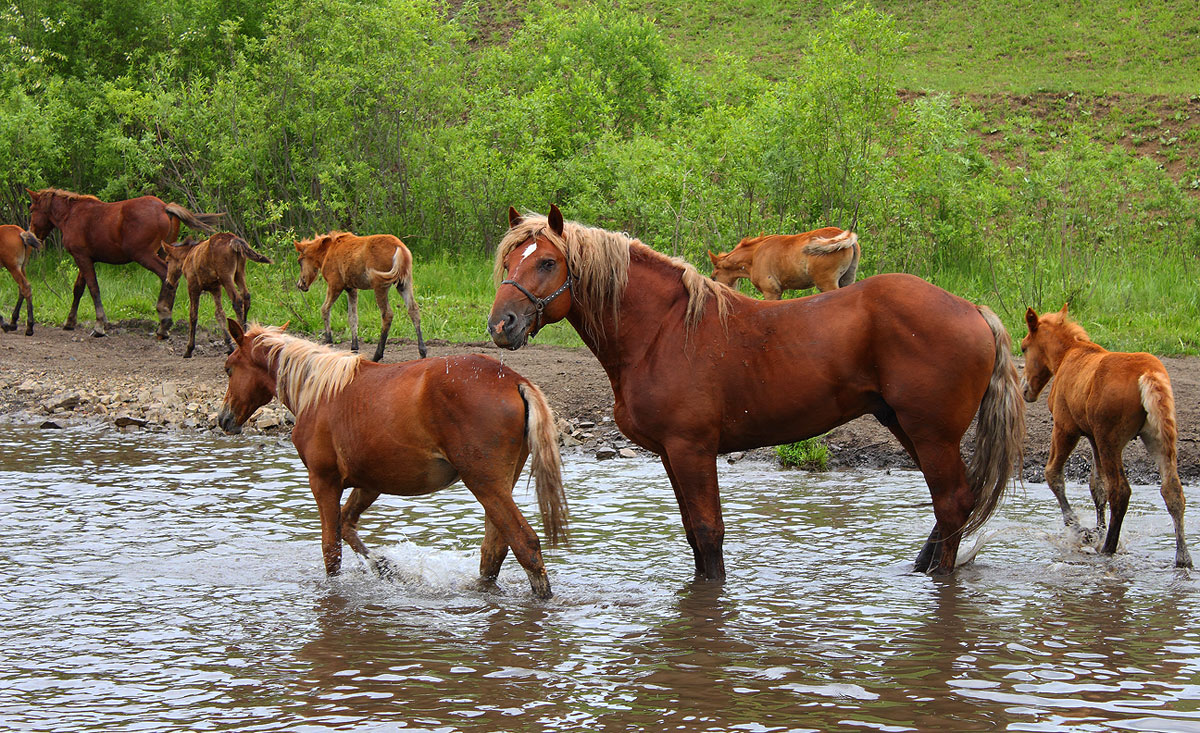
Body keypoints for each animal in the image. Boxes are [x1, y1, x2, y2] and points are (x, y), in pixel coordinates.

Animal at [25, 189, 223, 338]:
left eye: (32, 209)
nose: (31, 236)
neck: (70, 215)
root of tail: (164, 207)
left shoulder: (81, 257)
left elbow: (93, 288)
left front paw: (99, 324)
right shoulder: (85, 258)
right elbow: (79, 289)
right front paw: (70, 321)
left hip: (144, 254)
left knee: (166, 276)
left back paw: (164, 319)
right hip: (164, 251)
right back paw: (164, 324)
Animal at [217, 323, 571, 599]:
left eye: (229, 368)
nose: (223, 419)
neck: (317, 390)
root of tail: (512, 379)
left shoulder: (323, 481)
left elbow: (332, 550)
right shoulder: (370, 484)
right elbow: (347, 525)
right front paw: (387, 568)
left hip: (485, 483)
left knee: (525, 544)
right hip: (499, 485)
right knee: (495, 550)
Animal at [700, 227, 864, 299]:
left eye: (713, 276)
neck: (754, 255)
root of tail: (847, 239)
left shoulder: (771, 291)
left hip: (827, 283)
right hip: (847, 279)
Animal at [1022, 303, 1190, 568]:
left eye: (1023, 347)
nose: (1025, 390)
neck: (1067, 355)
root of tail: (1148, 373)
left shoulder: (1066, 428)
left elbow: (1053, 474)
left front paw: (1079, 527)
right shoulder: (1092, 436)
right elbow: (1096, 486)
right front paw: (1097, 530)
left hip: (1111, 441)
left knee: (1120, 491)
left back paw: (1109, 547)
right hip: (1158, 438)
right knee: (1172, 491)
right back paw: (1183, 558)